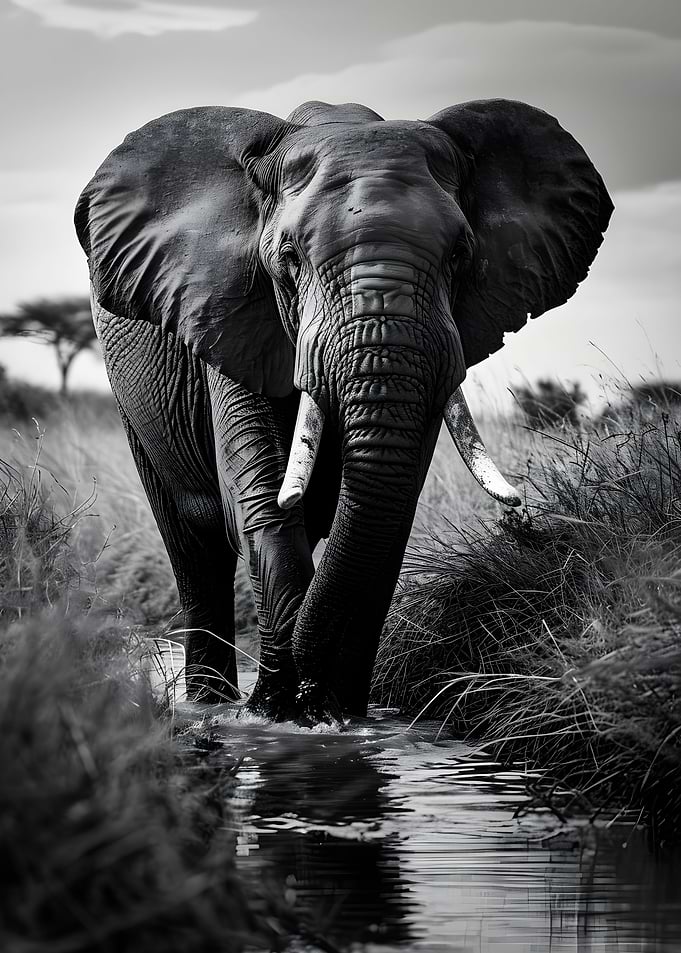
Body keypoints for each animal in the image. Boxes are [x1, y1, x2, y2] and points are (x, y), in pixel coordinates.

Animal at [75, 99, 612, 724]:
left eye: (460, 254)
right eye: (288, 258)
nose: (307, 691)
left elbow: (391, 508)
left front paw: (336, 715)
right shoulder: (224, 309)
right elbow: (257, 497)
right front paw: (277, 716)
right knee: (193, 548)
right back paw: (211, 706)